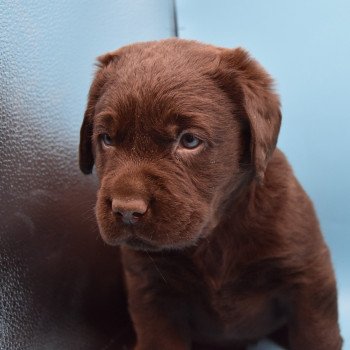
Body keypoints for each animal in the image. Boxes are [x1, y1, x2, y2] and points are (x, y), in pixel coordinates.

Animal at [78, 39, 342, 350]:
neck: (214, 235)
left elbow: (317, 335)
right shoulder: (150, 290)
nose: (126, 210)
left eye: (190, 140)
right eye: (106, 139)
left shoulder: (308, 275)